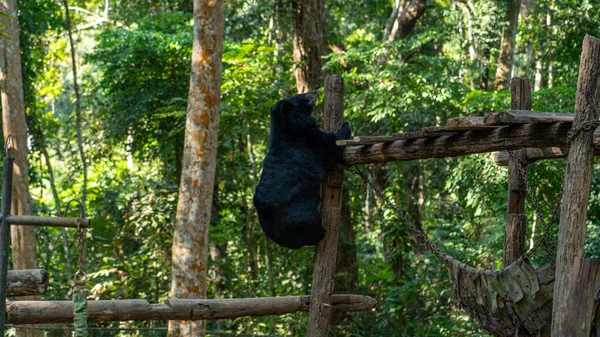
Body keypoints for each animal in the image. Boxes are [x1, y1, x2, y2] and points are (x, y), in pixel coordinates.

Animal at [253, 90, 352, 248]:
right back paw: (322, 232)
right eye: (301, 96)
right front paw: (346, 124)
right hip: (301, 216)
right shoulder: (308, 142)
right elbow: (330, 146)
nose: (315, 92)